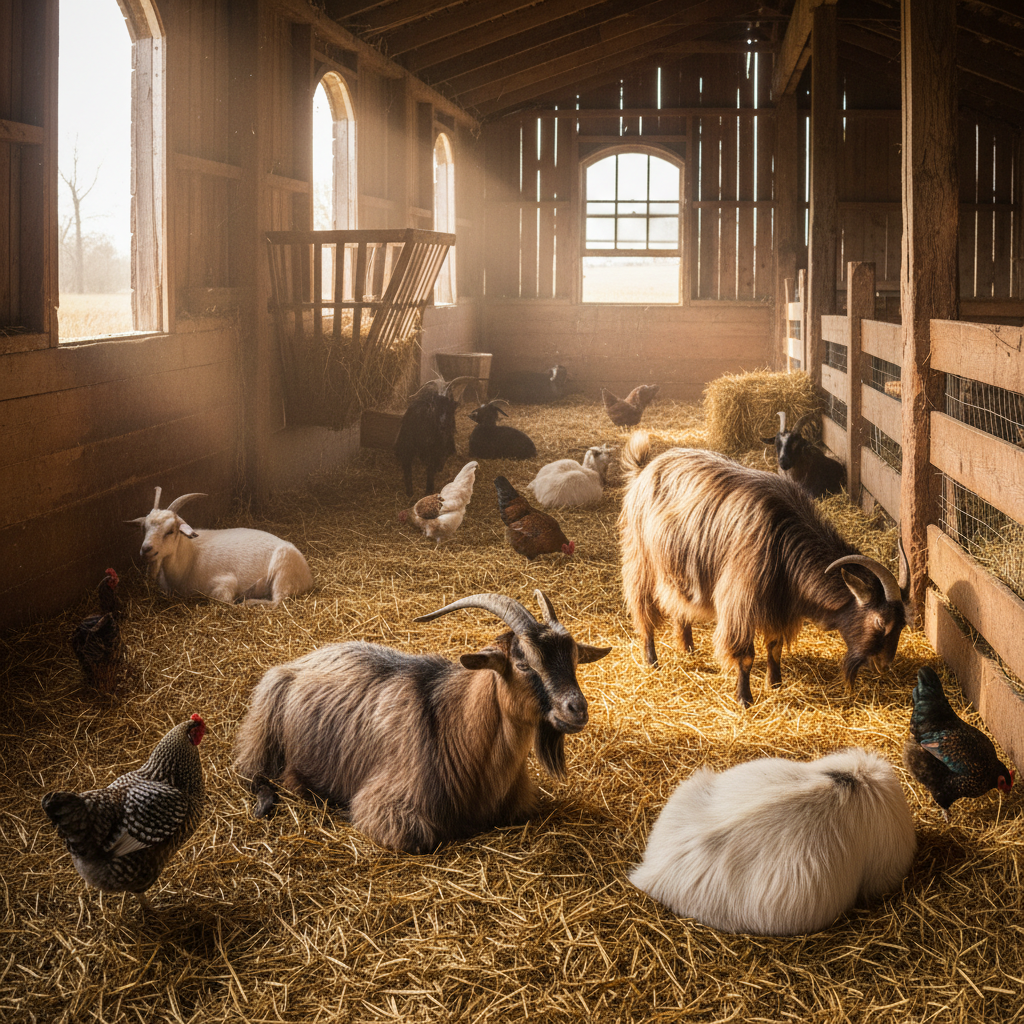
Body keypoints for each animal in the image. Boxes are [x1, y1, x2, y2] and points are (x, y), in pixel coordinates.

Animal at [128, 488, 313, 606]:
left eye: (170, 531)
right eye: (144, 528)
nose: (146, 550)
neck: (190, 558)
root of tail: (308, 577)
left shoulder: (225, 584)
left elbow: (224, 600)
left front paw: (242, 599)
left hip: (283, 572)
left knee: (278, 602)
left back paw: (250, 602)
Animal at [233, 591, 611, 853]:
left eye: (574, 659)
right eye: (523, 664)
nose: (577, 709)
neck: (453, 728)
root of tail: (299, 662)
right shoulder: (386, 809)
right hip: (265, 719)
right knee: (253, 773)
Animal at [619, 432, 909, 706]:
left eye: (902, 625)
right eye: (880, 621)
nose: (884, 665)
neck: (784, 540)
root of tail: (644, 469)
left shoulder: (779, 604)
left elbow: (775, 646)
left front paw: (775, 683)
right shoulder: (740, 602)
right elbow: (746, 656)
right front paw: (744, 698)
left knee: (678, 604)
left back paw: (688, 647)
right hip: (641, 559)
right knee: (643, 608)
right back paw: (652, 659)